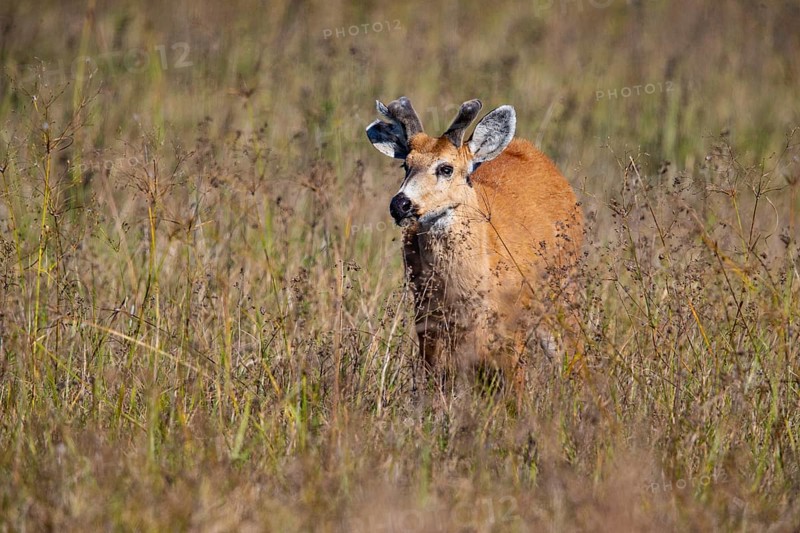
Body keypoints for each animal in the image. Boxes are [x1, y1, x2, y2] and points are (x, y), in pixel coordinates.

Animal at [365, 96, 584, 389]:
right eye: (405, 165)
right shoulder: (427, 317)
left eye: (446, 168)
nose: (400, 204)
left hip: (562, 287)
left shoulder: (510, 322)